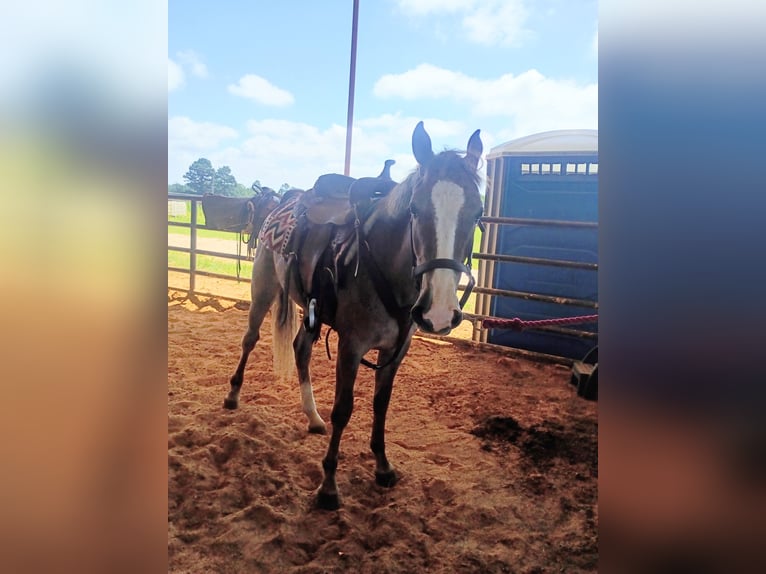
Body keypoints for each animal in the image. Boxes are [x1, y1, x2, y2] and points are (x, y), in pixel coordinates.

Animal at [224, 121, 484, 509]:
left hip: (311, 311)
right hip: (264, 288)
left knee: (301, 349)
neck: (384, 266)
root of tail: (282, 202)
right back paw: (233, 395)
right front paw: (328, 486)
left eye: (478, 213)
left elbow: (380, 406)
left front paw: (383, 466)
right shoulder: (351, 347)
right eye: (415, 209)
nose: (438, 313)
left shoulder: (395, 352)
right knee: (250, 339)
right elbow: (344, 410)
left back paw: (313, 417)